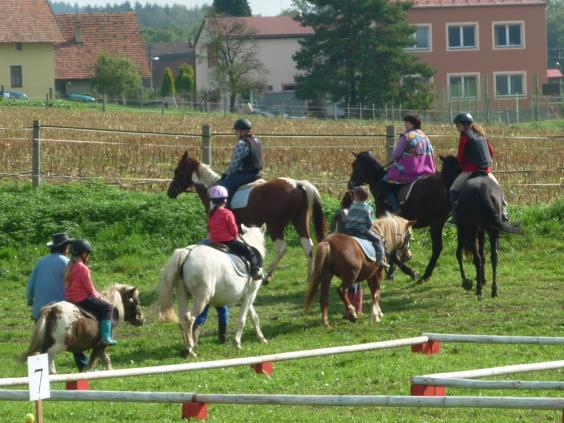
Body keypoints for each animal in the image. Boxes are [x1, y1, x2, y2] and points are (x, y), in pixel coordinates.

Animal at [156, 225, 266, 358]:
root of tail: (186, 253)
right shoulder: (251, 294)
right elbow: (242, 319)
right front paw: (237, 343)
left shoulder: (246, 296)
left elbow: (253, 317)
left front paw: (261, 338)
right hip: (201, 298)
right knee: (189, 318)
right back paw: (191, 349)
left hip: (182, 294)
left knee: (182, 319)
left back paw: (187, 348)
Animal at [167, 151, 326, 284]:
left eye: (178, 171)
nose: (170, 192)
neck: (212, 189)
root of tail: (297, 184)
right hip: (299, 221)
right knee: (308, 246)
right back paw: (309, 276)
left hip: (275, 226)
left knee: (282, 249)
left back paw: (266, 276)